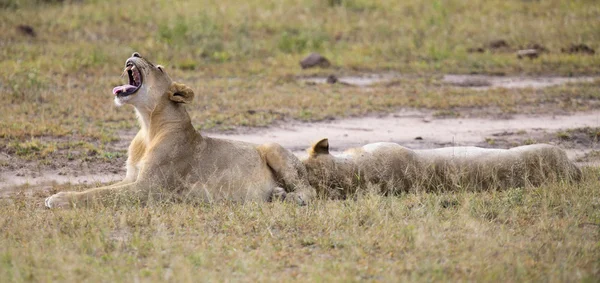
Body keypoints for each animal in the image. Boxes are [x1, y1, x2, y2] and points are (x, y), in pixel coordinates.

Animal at [45, 53, 316, 209]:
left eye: (159, 68)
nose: (135, 53)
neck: (148, 125)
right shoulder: (132, 179)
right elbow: (103, 189)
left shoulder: (147, 188)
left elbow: (98, 194)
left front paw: (59, 198)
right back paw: (278, 194)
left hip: (272, 147)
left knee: (309, 190)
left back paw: (291, 197)